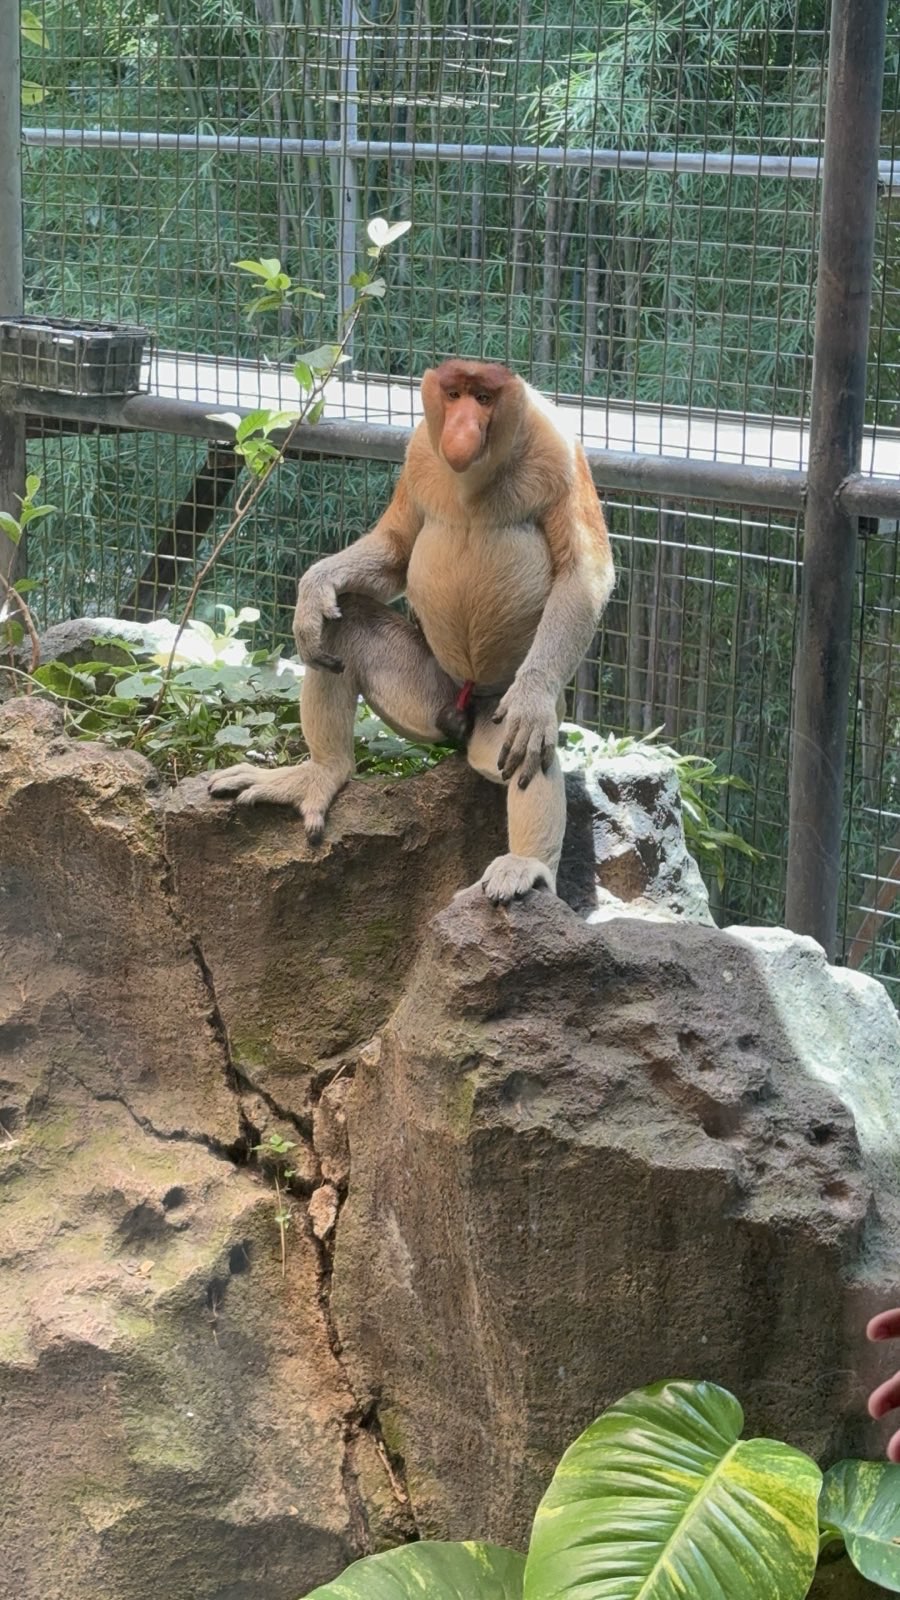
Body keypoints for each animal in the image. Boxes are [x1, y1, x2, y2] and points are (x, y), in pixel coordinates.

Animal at [209, 359, 614, 905]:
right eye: (456, 394)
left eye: (484, 398)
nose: (462, 427)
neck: (475, 481)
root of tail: (463, 712)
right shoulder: (422, 447)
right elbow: (396, 547)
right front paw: (313, 593)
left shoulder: (559, 450)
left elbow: (581, 576)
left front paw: (531, 701)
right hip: (424, 692)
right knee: (345, 627)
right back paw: (319, 772)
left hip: (497, 712)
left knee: (532, 741)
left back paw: (525, 865)